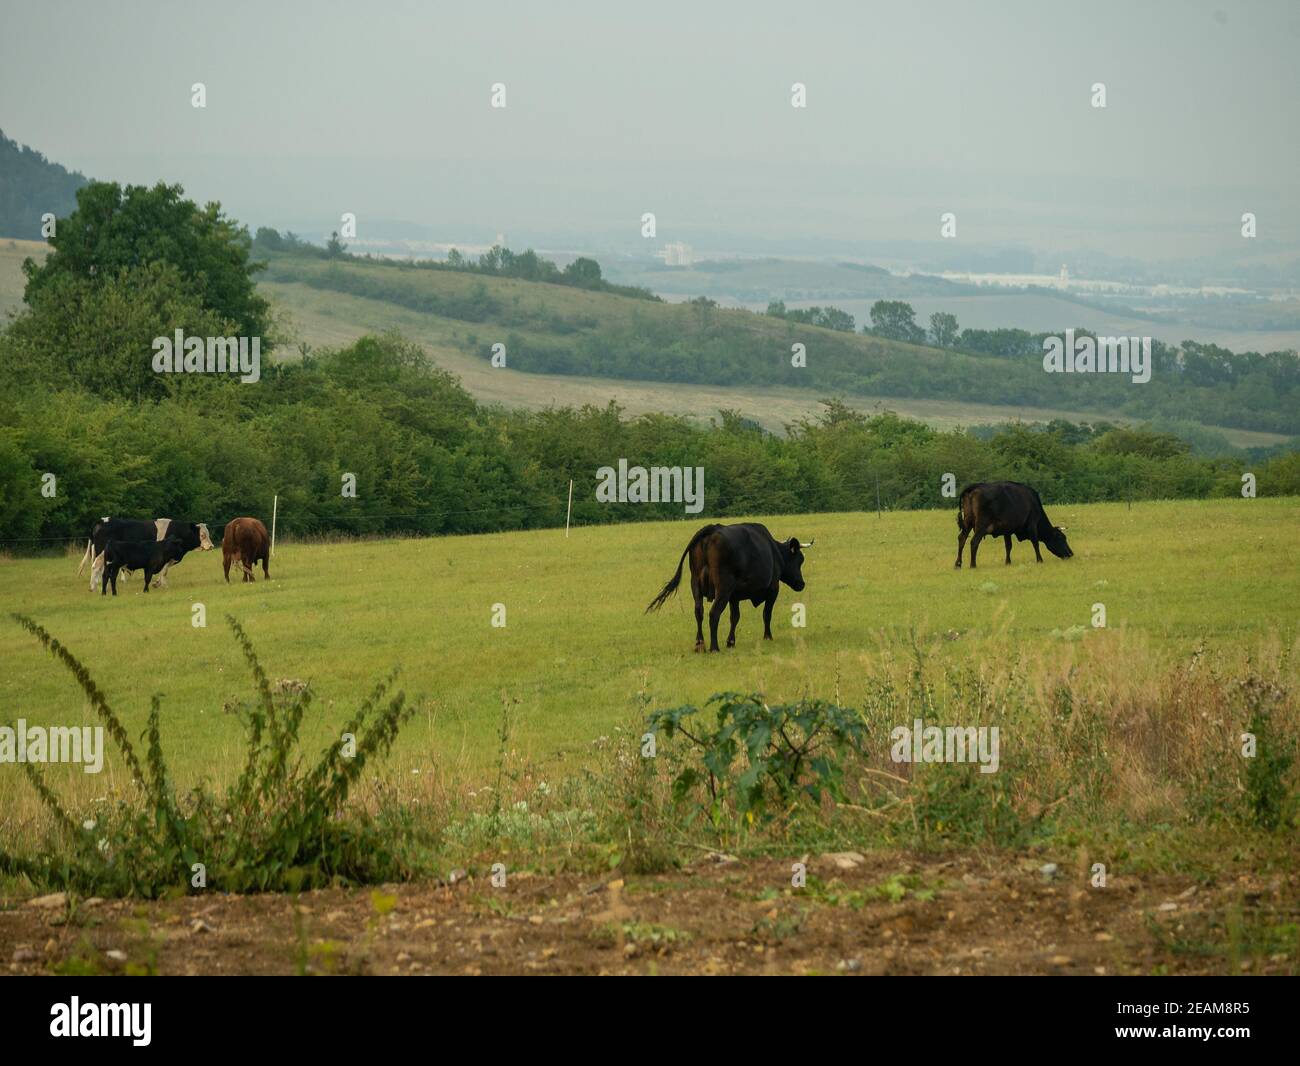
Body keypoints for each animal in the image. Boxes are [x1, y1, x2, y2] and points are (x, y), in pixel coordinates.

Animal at [77, 517, 211, 590]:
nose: (211, 546)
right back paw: (93, 588)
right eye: (202, 535)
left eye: (208, 534)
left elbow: (164, 570)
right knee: (96, 567)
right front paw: (161, 584)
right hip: (102, 553)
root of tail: (102, 520)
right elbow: (164, 571)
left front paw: (158, 583)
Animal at [644, 522, 806, 650]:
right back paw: (714, 647)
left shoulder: (734, 596)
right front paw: (767, 637)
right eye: (799, 560)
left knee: (699, 611)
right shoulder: (773, 588)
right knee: (714, 613)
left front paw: (731, 642)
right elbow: (766, 614)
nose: (801, 584)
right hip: (723, 587)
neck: (774, 551)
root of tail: (712, 529)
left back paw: (700, 644)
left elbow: (735, 617)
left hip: (695, 584)